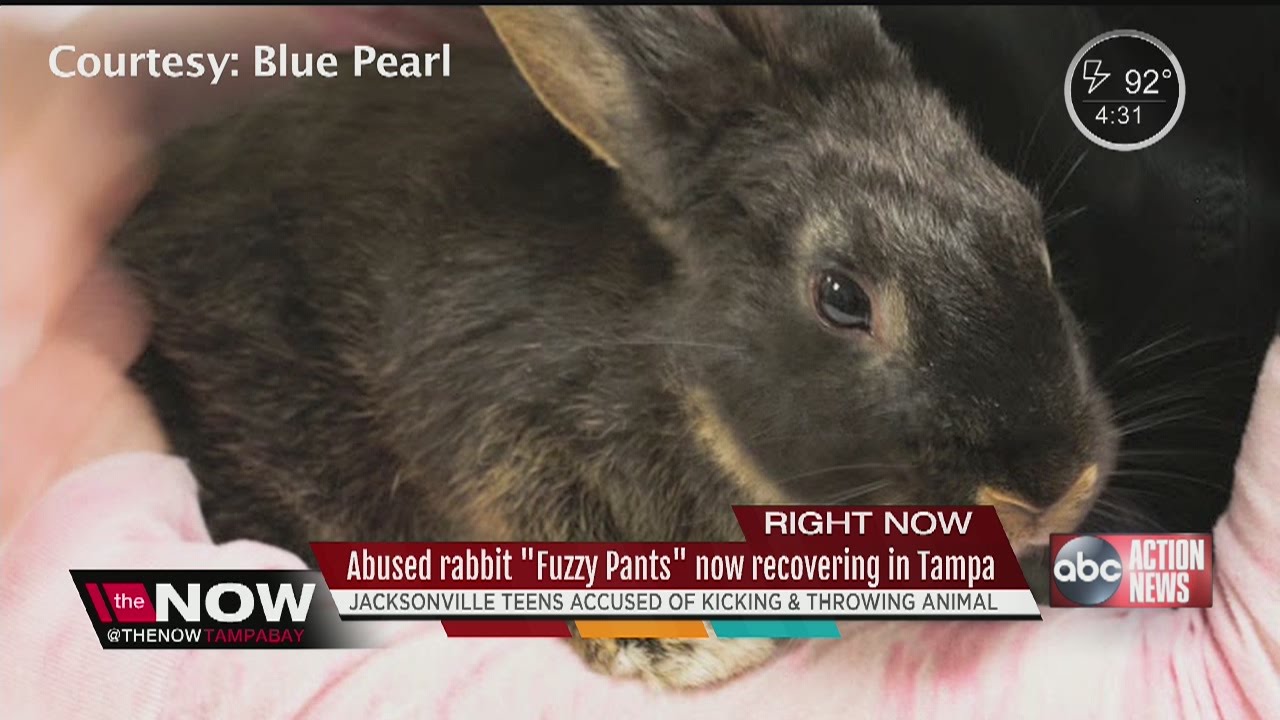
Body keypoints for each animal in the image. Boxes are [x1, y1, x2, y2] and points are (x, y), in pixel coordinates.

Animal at [112, 6, 1118, 689]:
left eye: (1027, 227)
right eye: (842, 298)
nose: (1045, 489)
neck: (679, 372)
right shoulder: (515, 444)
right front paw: (676, 650)